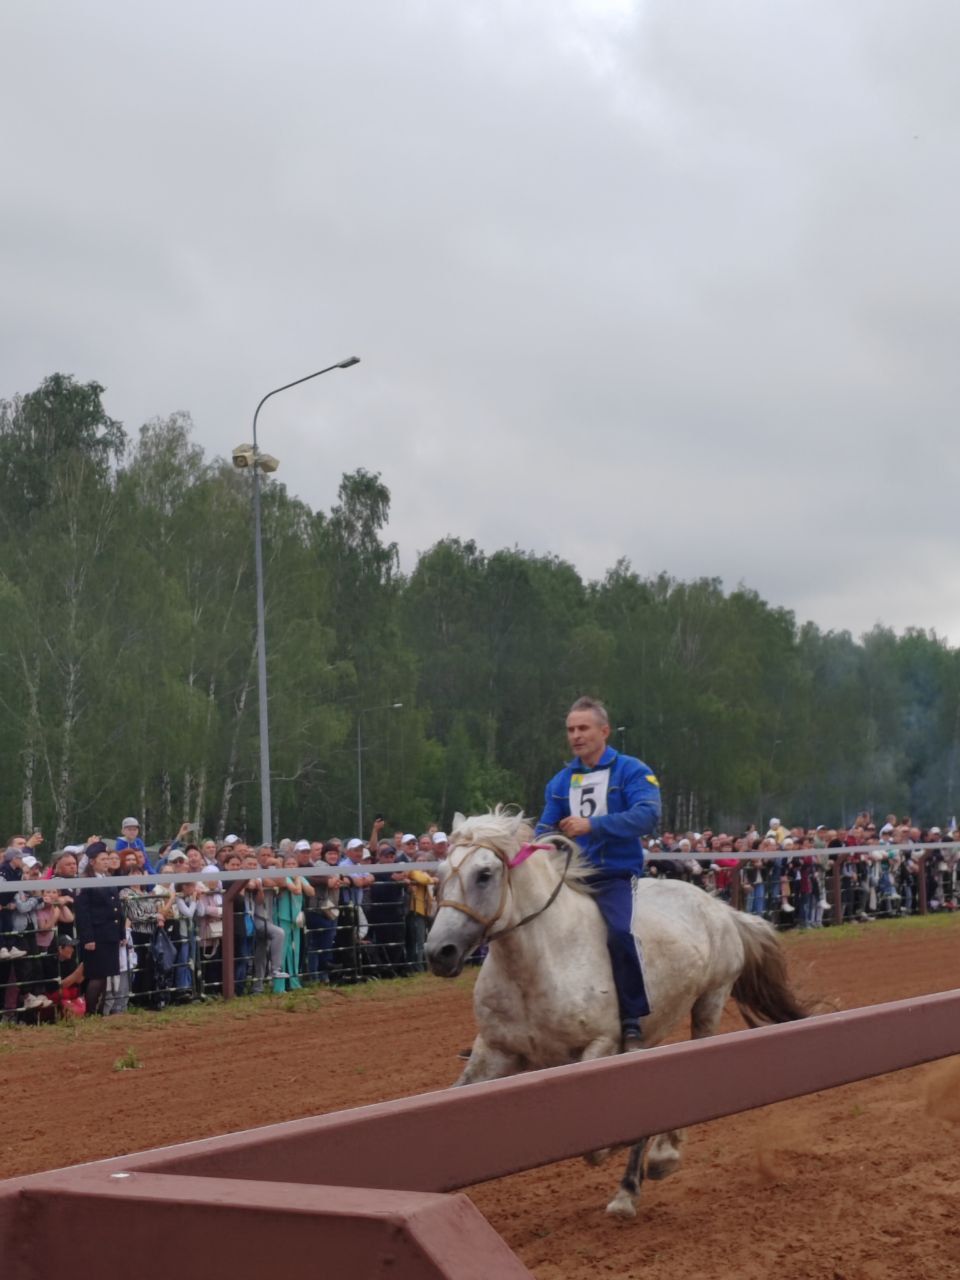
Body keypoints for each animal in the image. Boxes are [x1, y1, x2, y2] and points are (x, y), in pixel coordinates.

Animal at [424, 808, 808, 1218]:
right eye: (441, 873)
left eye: (484, 873)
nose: (439, 952)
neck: (542, 962)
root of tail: (720, 907)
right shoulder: (495, 1053)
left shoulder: (600, 1047)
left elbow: (597, 1144)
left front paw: (631, 1150)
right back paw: (629, 1188)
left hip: (710, 1001)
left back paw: (659, 1160)